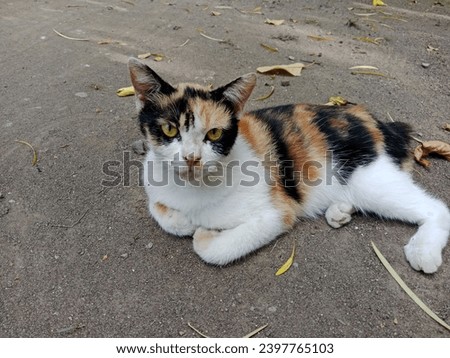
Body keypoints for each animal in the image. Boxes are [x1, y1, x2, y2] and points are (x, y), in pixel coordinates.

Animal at [128, 57, 448, 272]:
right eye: (170, 129)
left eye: (215, 133)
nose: (192, 158)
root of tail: (375, 120)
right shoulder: (153, 182)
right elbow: (156, 206)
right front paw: (181, 220)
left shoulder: (277, 213)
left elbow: (209, 248)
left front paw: (203, 233)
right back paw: (339, 210)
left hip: (369, 179)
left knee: (437, 208)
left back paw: (423, 251)